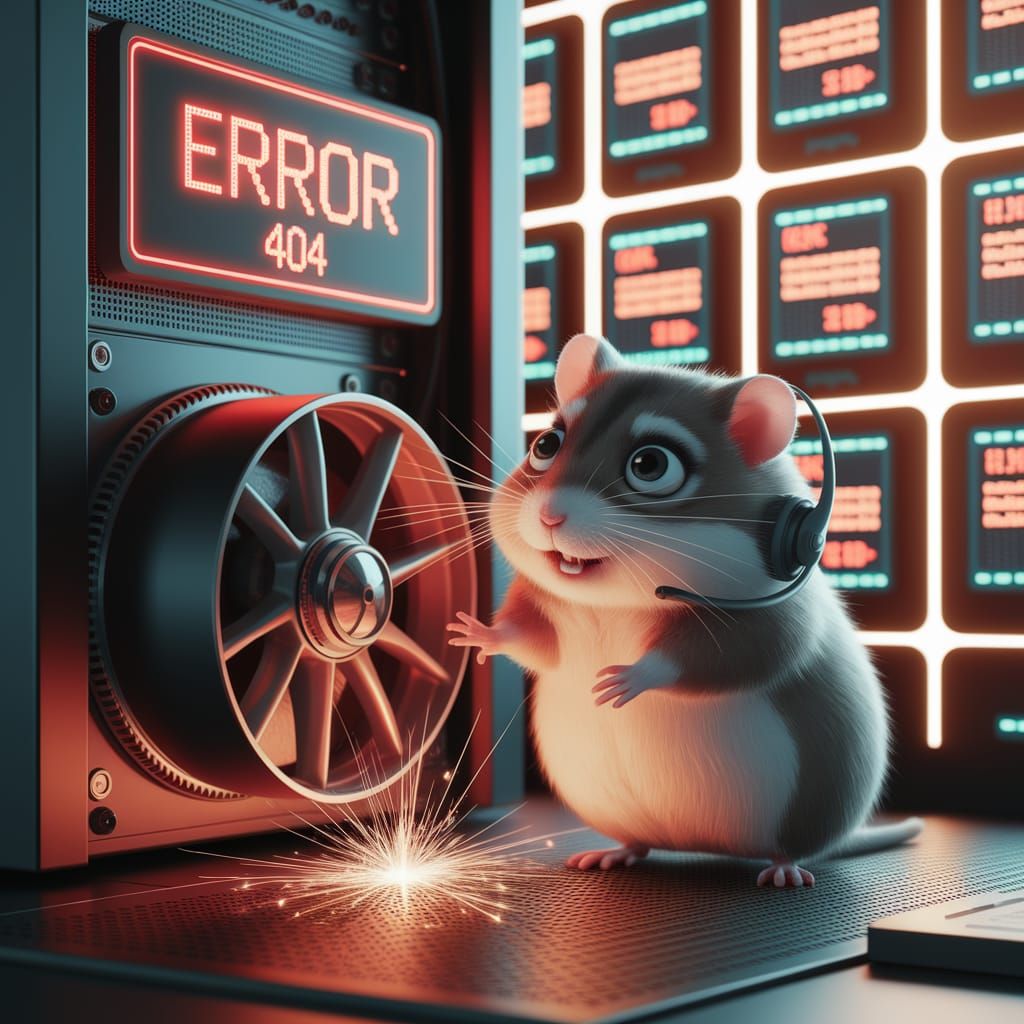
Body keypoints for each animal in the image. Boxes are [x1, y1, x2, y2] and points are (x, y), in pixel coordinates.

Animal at [447, 333, 921, 888]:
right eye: (546, 445)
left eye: (650, 465)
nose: (548, 515)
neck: (613, 604)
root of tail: (703, 844)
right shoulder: (546, 608)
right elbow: (532, 639)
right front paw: (480, 634)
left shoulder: (769, 617)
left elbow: (724, 658)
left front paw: (627, 678)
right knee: (638, 841)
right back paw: (612, 853)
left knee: (789, 848)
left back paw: (783, 870)